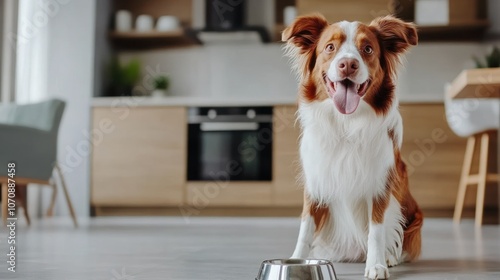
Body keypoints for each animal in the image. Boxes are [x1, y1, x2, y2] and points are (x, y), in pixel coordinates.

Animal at [284, 14, 424, 278]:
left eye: (367, 49)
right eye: (330, 47)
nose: (348, 64)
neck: (345, 124)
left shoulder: (379, 184)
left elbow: (376, 230)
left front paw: (377, 264)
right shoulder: (316, 182)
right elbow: (305, 228)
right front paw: (295, 261)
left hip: (415, 218)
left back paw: (389, 257)